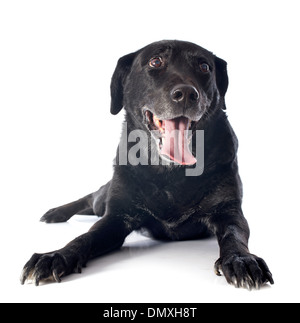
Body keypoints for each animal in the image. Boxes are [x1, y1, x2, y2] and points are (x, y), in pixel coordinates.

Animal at [20, 39, 274, 290]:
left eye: (204, 67)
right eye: (155, 61)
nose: (186, 93)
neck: (170, 172)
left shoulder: (228, 212)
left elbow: (234, 234)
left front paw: (241, 259)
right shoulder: (116, 216)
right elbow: (85, 237)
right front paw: (56, 256)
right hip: (102, 201)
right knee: (91, 198)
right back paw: (56, 213)